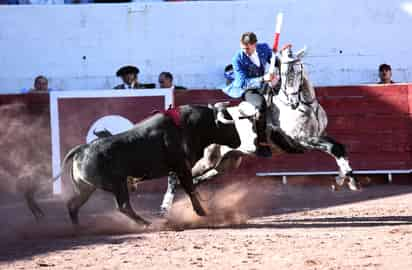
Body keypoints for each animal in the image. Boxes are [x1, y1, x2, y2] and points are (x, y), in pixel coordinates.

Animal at [40, 104, 240, 225]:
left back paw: (79, 229)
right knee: (123, 206)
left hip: (87, 188)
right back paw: (146, 223)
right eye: (229, 125)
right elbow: (190, 187)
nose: (238, 141)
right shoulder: (182, 167)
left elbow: (180, 188)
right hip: (117, 184)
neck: (190, 125)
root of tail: (83, 148)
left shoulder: (177, 170)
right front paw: (202, 212)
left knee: (73, 205)